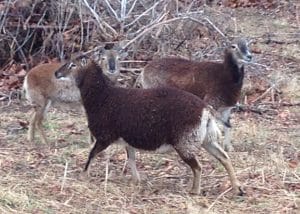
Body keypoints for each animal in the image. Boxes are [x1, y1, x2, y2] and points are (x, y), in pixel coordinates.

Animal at [54, 58, 243, 196]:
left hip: (185, 141)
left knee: (197, 166)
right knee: (224, 157)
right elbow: (131, 159)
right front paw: (137, 180)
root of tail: (206, 110)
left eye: (73, 64)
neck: (102, 97)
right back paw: (237, 188)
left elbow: (92, 154)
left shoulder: (105, 137)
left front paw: (83, 174)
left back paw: (194, 191)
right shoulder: (127, 140)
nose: (56, 73)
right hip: (205, 139)